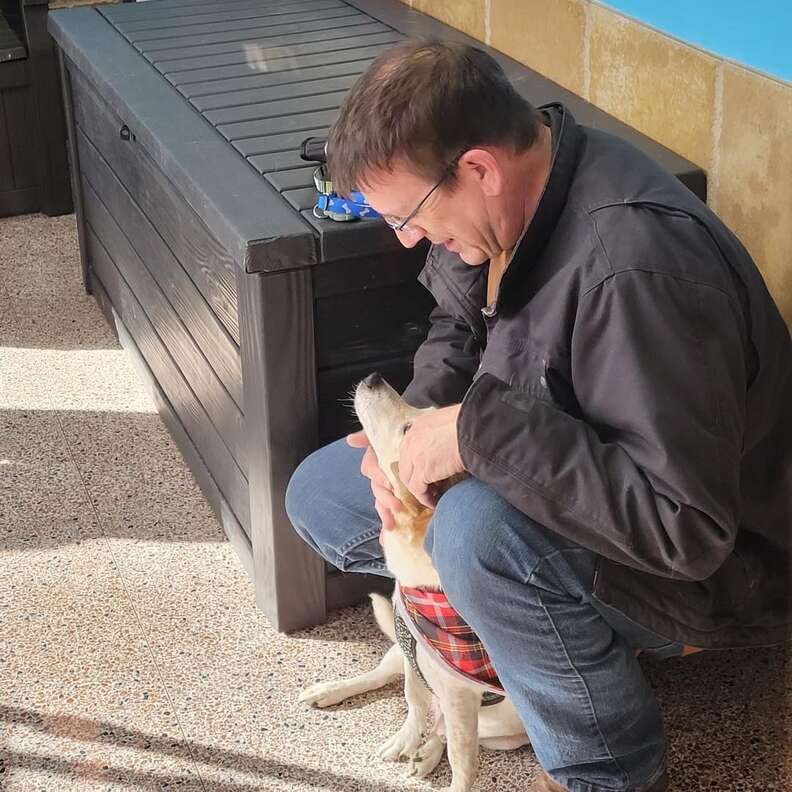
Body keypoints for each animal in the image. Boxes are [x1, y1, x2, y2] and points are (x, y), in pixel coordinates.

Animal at [296, 374, 524, 792]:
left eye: (408, 429)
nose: (374, 377)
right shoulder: (411, 650)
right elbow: (412, 701)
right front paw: (407, 735)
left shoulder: (461, 696)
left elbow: (462, 759)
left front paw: (439, 762)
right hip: (399, 653)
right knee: (387, 681)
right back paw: (338, 696)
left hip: (504, 734)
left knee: (444, 729)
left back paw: (425, 751)